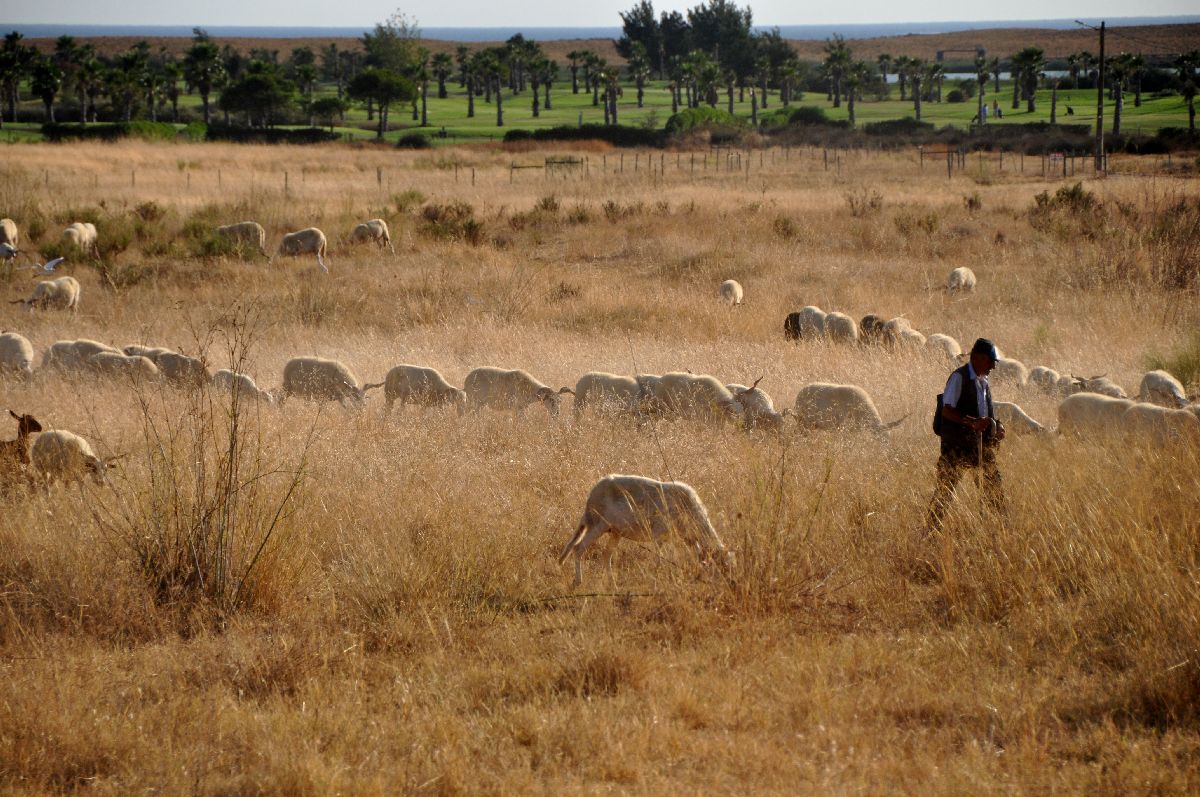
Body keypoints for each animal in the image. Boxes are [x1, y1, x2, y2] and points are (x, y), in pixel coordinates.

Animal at [554, 472, 729, 590]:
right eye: (723, 567)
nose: (729, 585)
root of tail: (591, 496)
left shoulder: (686, 539)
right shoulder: (659, 535)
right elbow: (659, 561)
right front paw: (657, 582)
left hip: (615, 532)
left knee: (606, 555)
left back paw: (614, 585)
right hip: (598, 525)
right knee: (578, 548)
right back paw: (578, 582)